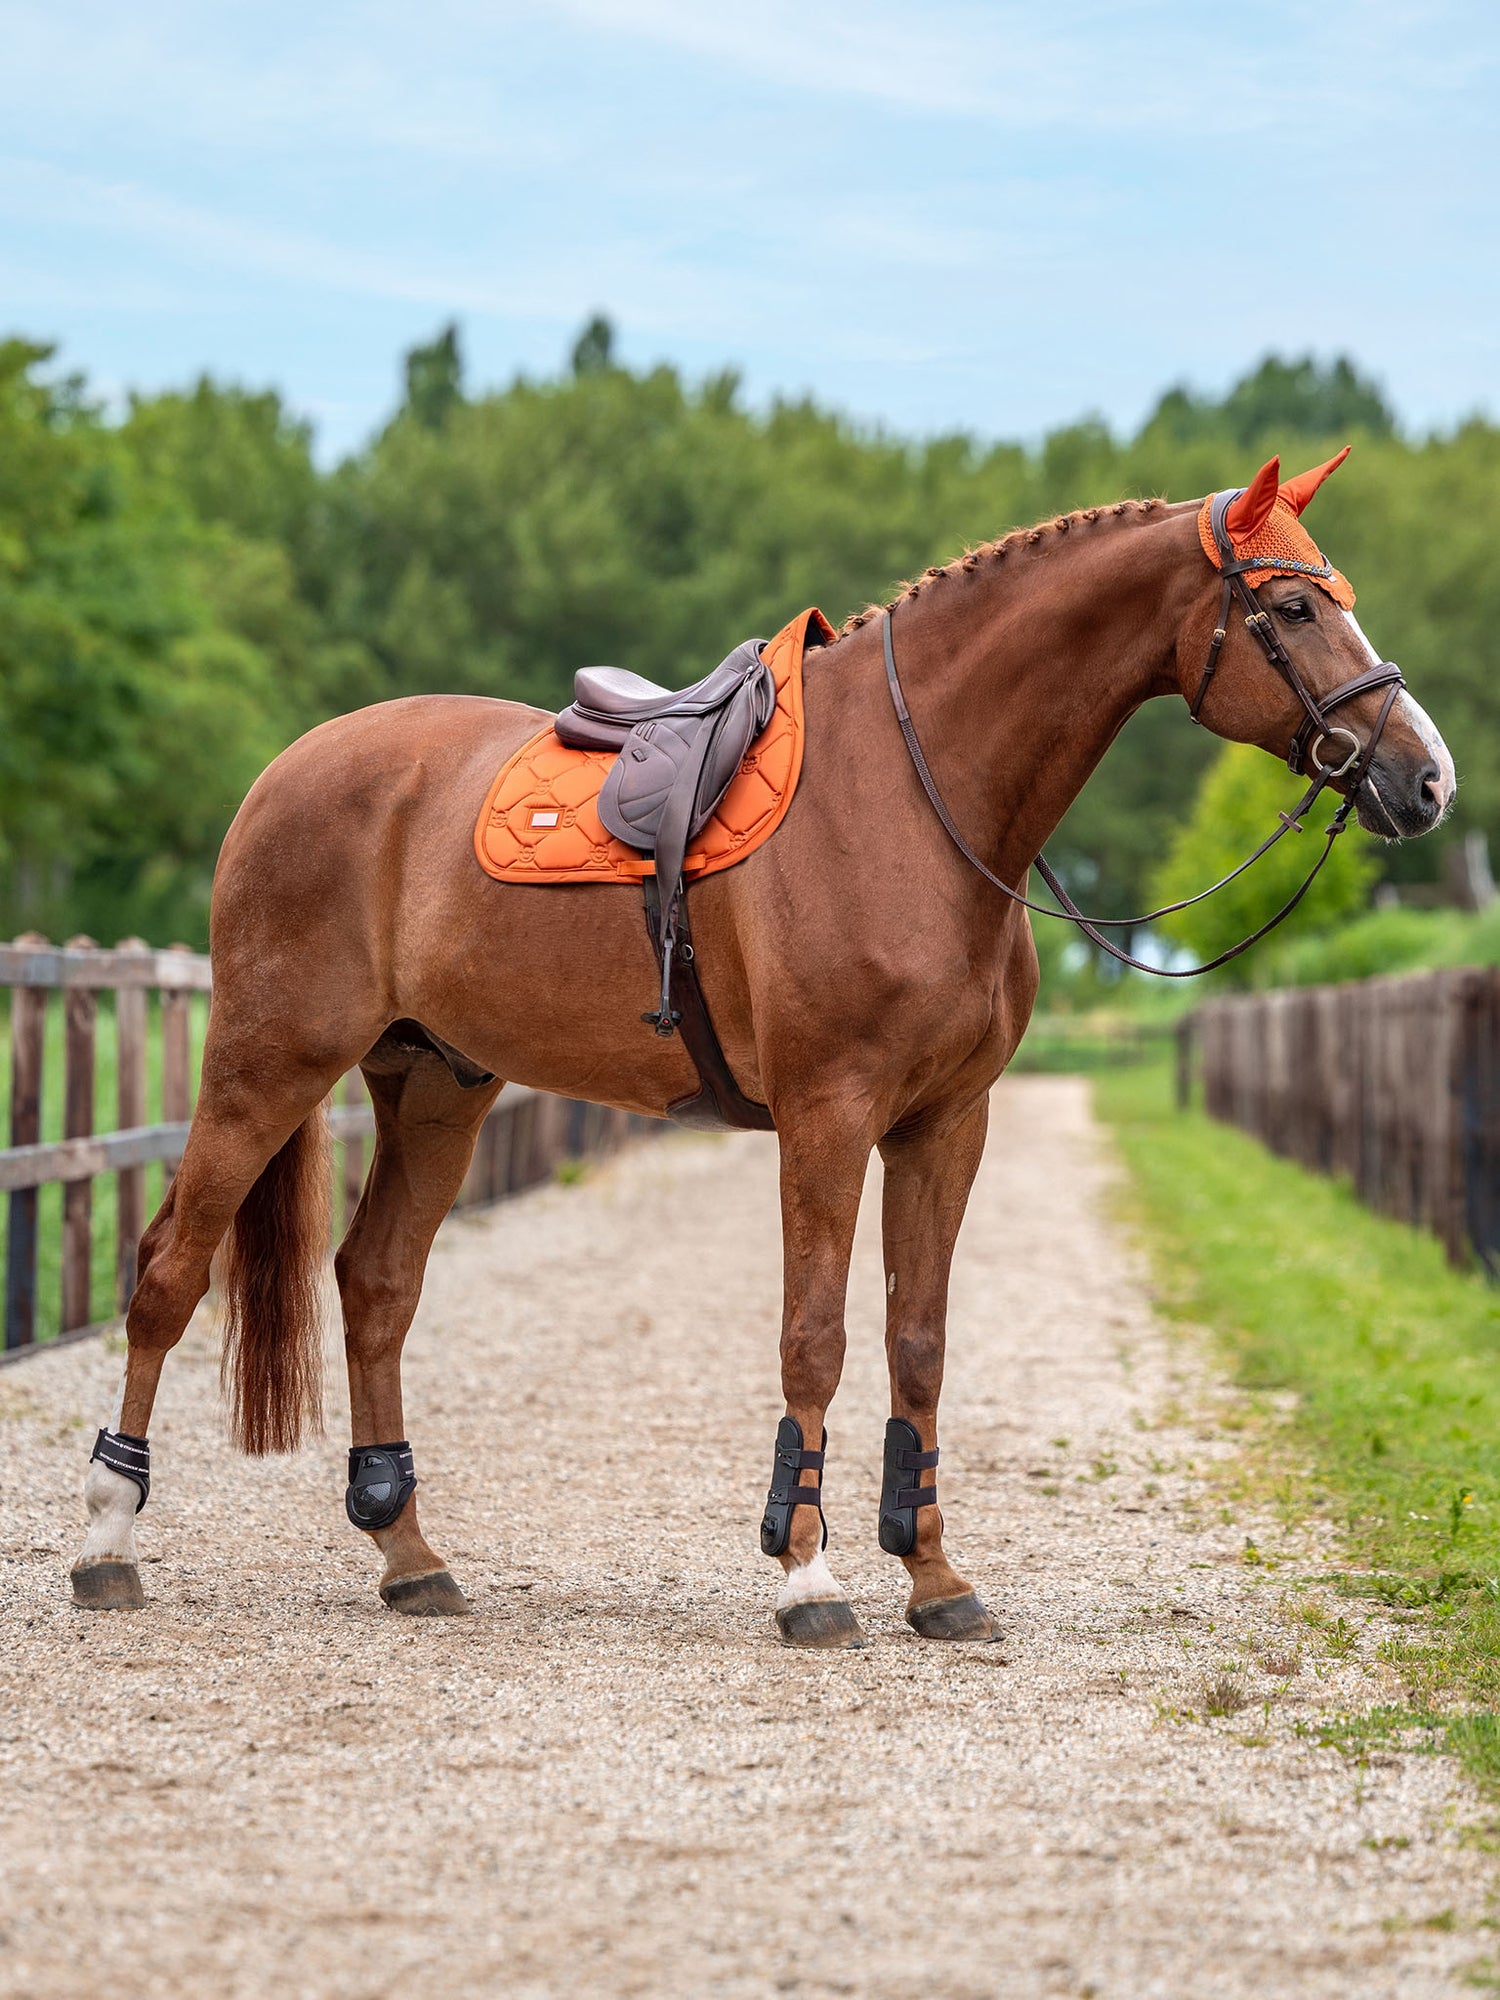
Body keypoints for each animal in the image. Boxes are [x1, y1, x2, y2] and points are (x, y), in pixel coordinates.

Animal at [71, 453, 1455, 1647]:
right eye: (1293, 603)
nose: (1427, 778)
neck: (915, 793)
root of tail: (288, 771)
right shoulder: (829, 1115)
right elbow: (816, 1336)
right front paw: (809, 1576)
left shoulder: (947, 1124)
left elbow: (917, 1338)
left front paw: (935, 1576)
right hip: (266, 1063)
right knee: (167, 1271)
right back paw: (106, 1539)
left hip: (436, 1082)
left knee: (375, 1284)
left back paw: (410, 1556)